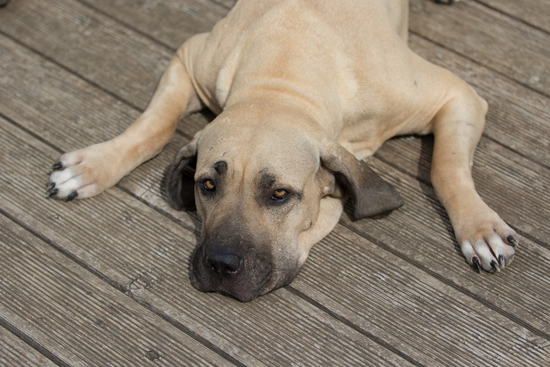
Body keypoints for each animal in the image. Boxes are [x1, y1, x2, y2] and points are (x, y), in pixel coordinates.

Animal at [46, 0, 516, 302]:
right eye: (207, 185)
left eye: (279, 194)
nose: (221, 265)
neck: (282, 77)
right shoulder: (188, 60)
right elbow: (155, 125)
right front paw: (93, 165)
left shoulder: (457, 95)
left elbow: (445, 168)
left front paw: (478, 228)